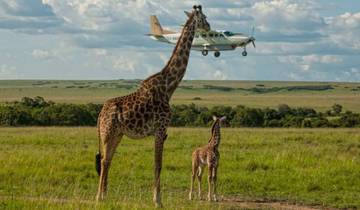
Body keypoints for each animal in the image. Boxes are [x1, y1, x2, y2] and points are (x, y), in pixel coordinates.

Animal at [95, 5, 210, 208]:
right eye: (203, 17)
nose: (209, 26)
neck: (168, 86)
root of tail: (100, 114)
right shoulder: (160, 129)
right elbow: (158, 164)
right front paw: (158, 200)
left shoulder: (161, 131)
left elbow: (157, 164)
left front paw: (156, 198)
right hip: (107, 133)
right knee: (103, 160)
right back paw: (99, 197)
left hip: (117, 134)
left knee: (107, 160)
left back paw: (105, 195)